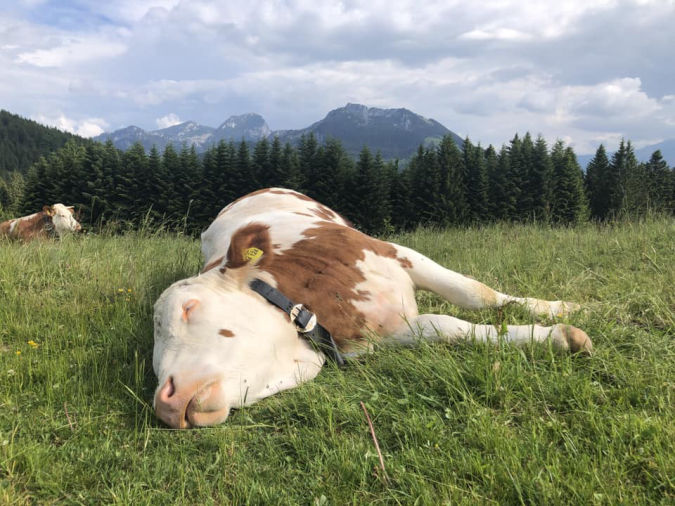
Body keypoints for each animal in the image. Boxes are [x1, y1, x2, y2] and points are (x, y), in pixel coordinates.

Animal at [153, 188, 592, 429]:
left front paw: (561, 312)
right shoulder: (387, 336)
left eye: (188, 308)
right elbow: (448, 326)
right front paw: (551, 336)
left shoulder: (396, 252)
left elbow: (475, 293)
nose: (166, 403)